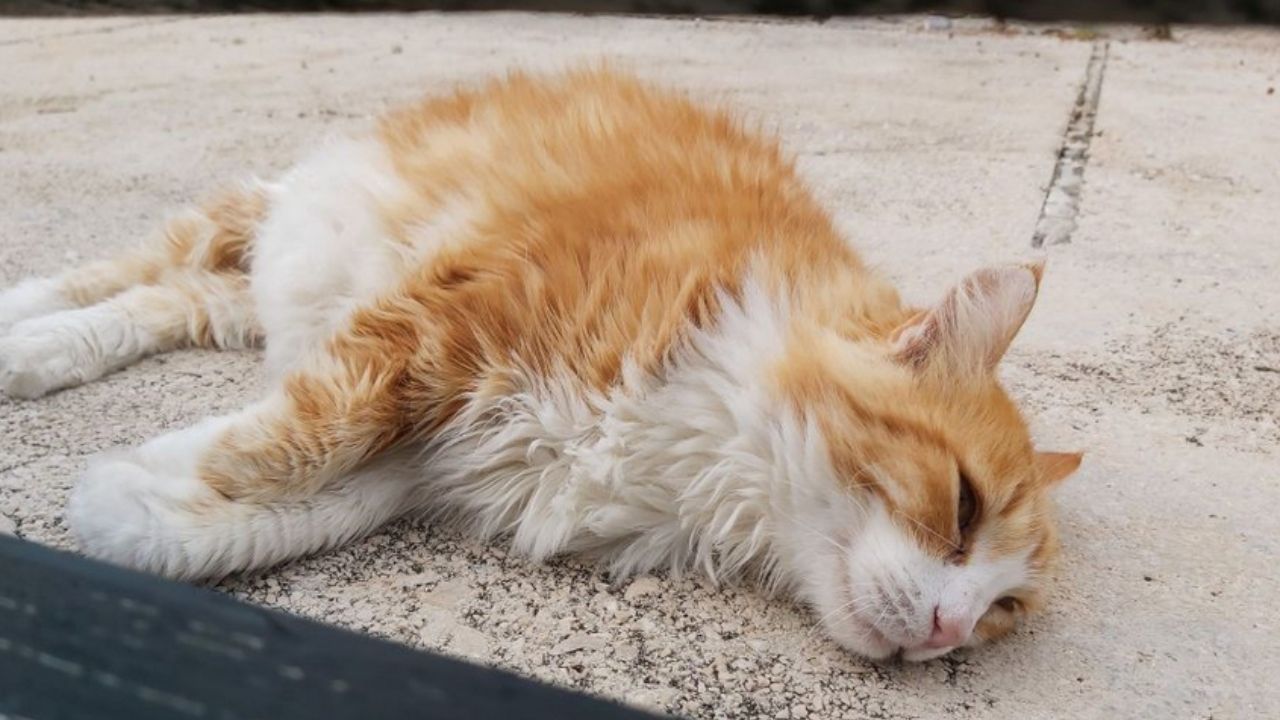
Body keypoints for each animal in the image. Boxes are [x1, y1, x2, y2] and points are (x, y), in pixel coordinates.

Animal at [0, 68, 1080, 661]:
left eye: (1003, 609)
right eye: (961, 508)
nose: (947, 632)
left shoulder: (438, 458)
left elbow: (264, 515)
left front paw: (137, 498)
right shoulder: (441, 324)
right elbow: (300, 435)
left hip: (257, 292)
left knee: (159, 301)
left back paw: (42, 351)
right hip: (282, 213)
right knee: (131, 265)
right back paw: (20, 327)